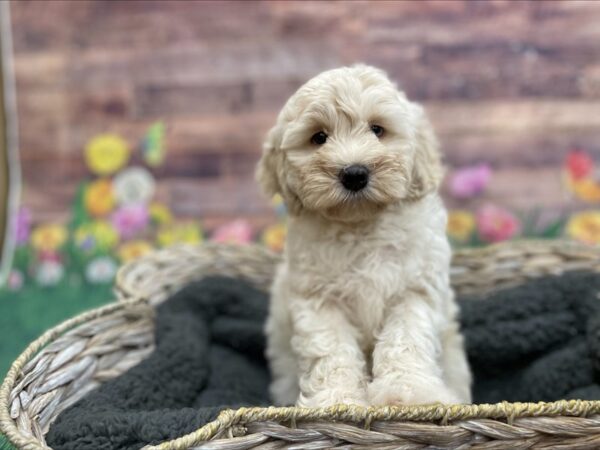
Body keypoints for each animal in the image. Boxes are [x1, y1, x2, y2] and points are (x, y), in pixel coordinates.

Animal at [258, 66, 474, 408]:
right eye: (319, 137)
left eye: (377, 129)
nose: (354, 173)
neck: (360, 225)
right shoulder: (319, 301)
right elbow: (331, 351)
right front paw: (337, 401)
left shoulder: (414, 291)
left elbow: (405, 340)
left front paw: (409, 392)